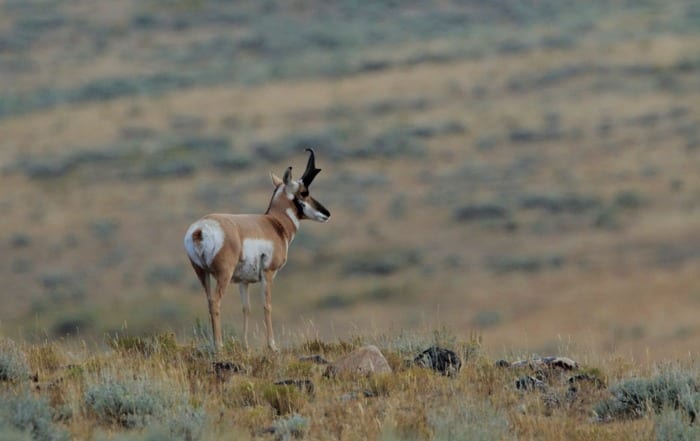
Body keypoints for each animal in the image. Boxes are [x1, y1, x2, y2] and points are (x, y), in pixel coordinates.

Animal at [185, 148, 330, 350]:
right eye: (304, 192)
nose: (326, 213)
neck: (274, 223)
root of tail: (200, 228)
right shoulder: (268, 274)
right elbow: (267, 306)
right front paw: (272, 346)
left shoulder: (243, 281)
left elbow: (246, 309)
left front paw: (245, 346)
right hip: (223, 274)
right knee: (215, 302)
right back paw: (219, 346)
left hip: (202, 273)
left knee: (208, 301)